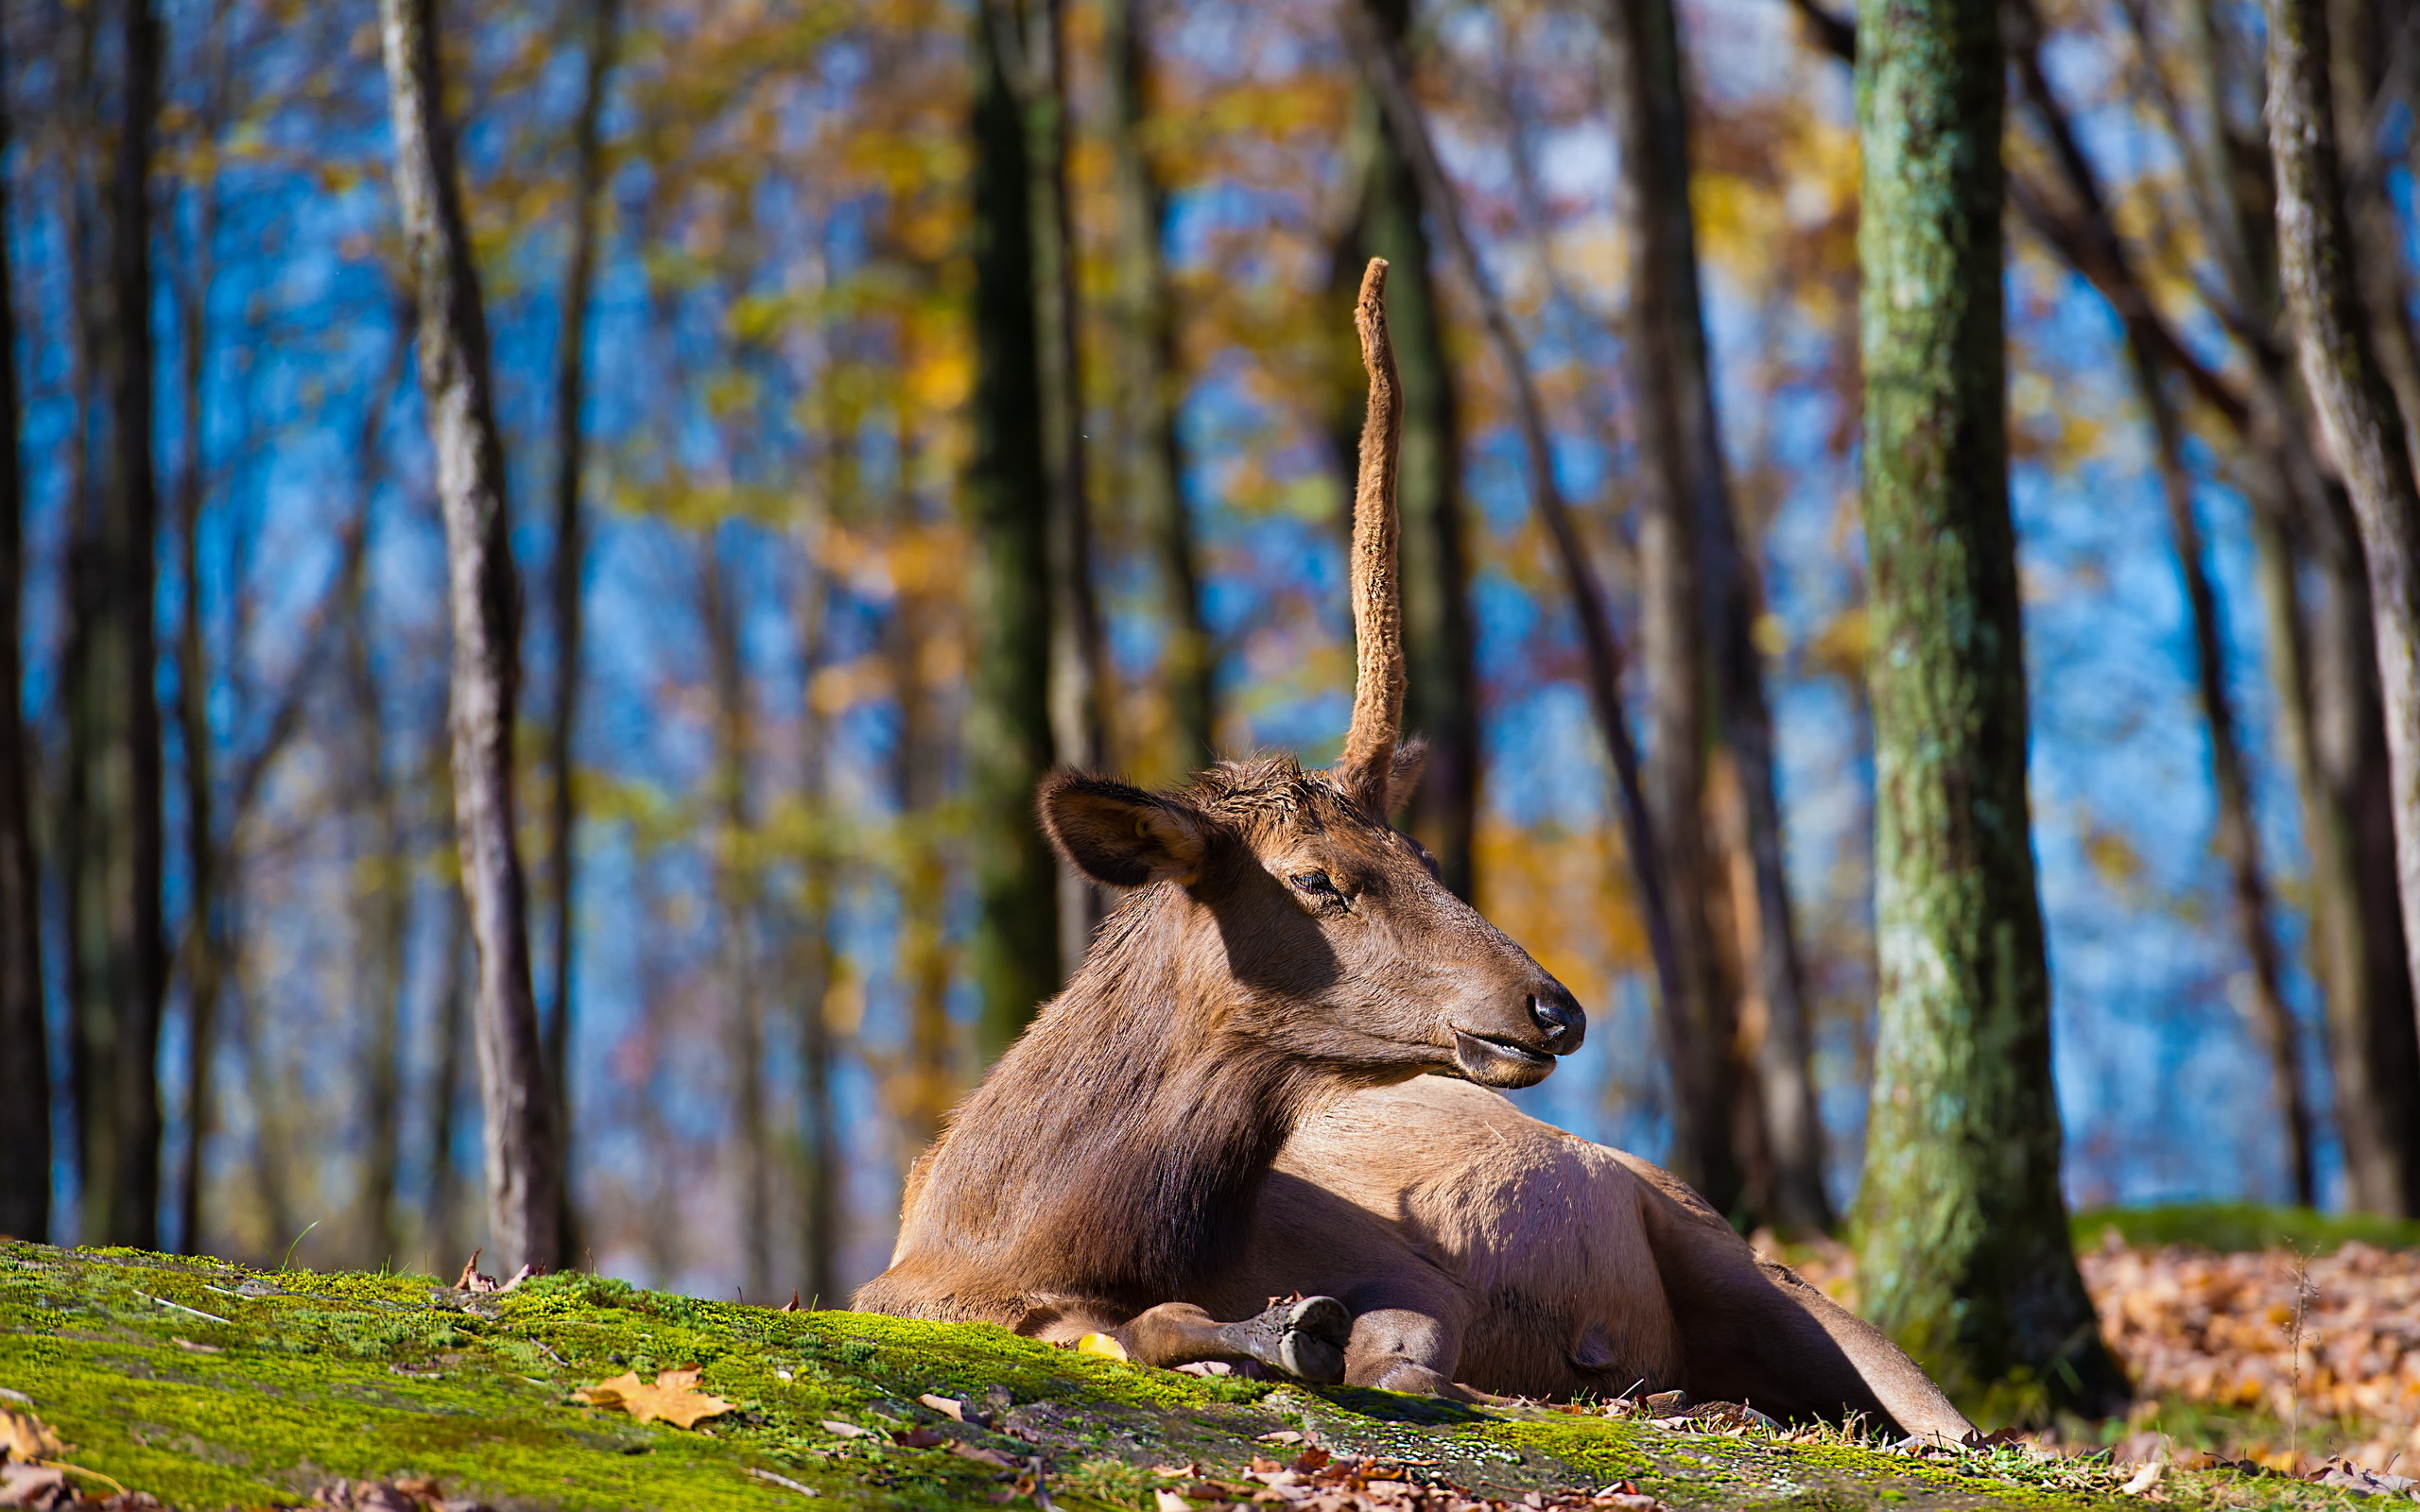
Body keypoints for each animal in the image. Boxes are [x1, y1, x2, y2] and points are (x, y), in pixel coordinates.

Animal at [852, 258, 1587, 1383]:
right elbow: (1130, 1326)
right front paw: (1269, 1327)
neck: (1008, 1237)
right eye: (1318, 878)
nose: (1553, 1008)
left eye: (1424, 853)